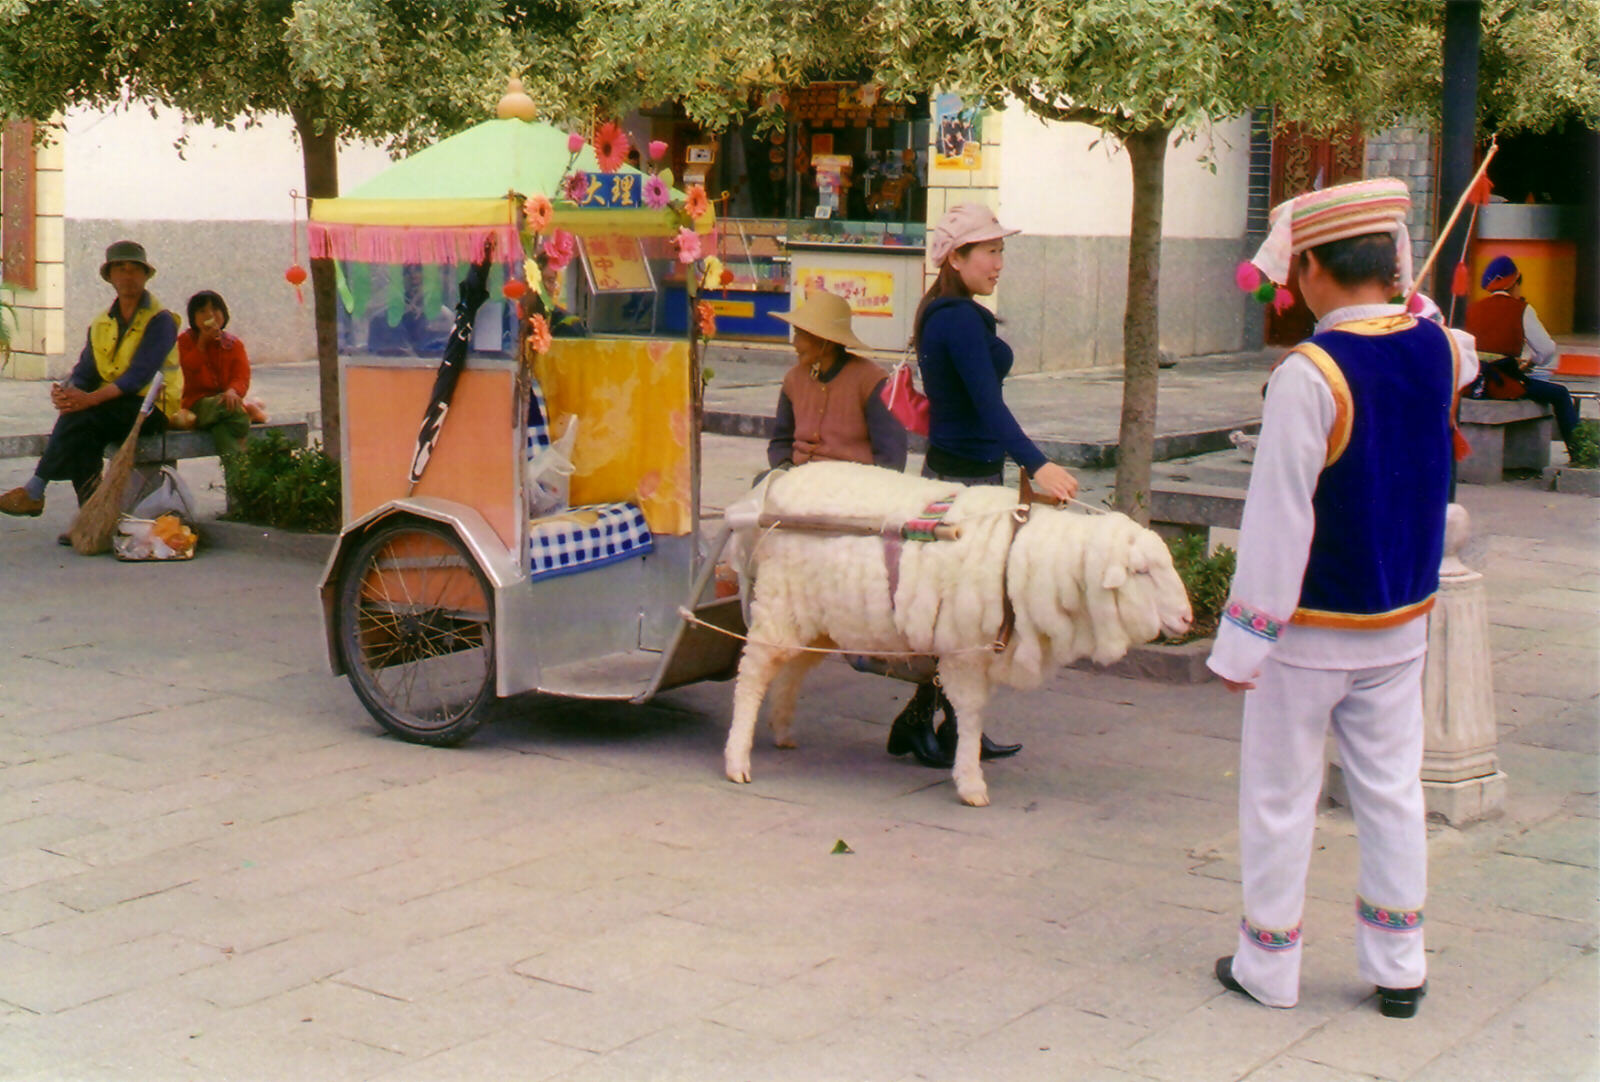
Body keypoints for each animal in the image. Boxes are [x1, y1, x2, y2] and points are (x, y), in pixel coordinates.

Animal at [723, 460, 1190, 806]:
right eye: (1142, 572)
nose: (1187, 620)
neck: (1023, 555)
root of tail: (778, 484)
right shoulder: (965, 650)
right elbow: (970, 711)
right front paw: (970, 781)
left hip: (818, 618)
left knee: (792, 669)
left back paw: (783, 731)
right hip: (780, 603)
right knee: (753, 674)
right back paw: (737, 760)